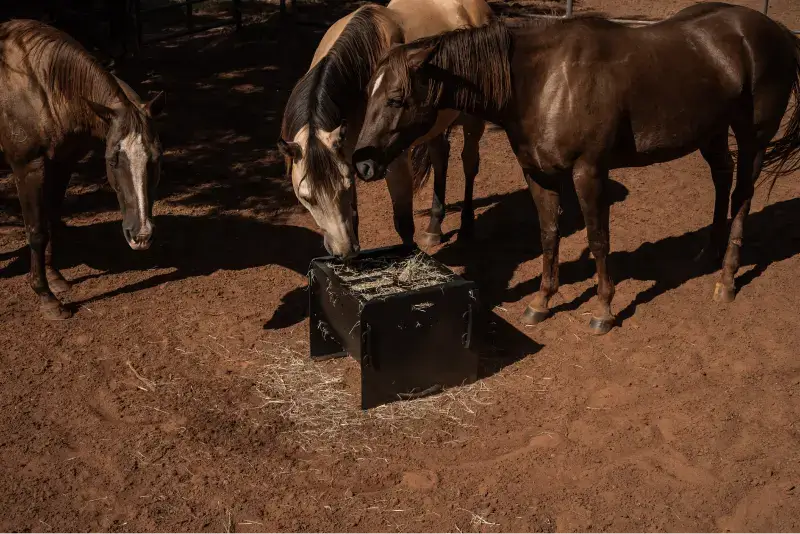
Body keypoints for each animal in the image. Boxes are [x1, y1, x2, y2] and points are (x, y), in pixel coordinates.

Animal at [0, 20, 165, 320]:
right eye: (112, 160)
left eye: (157, 157)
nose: (142, 235)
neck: (39, 87)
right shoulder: (28, 168)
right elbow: (37, 230)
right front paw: (46, 297)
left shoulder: (62, 163)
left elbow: (52, 220)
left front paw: (55, 278)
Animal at [278, 0, 493, 258]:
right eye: (306, 198)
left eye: (345, 187)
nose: (343, 251)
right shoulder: (349, 157)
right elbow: (354, 218)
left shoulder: (393, 159)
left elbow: (403, 222)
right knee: (440, 157)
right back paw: (433, 229)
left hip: (473, 122)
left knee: (470, 163)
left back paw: (467, 226)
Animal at [352, 3, 800, 335]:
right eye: (368, 94)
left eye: (396, 98)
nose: (363, 163)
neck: (545, 80)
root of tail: (775, 30)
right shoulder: (539, 173)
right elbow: (549, 235)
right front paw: (541, 301)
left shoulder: (589, 172)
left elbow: (598, 239)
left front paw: (603, 310)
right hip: (712, 131)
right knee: (722, 178)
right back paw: (708, 251)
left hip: (754, 137)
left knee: (743, 195)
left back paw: (727, 277)